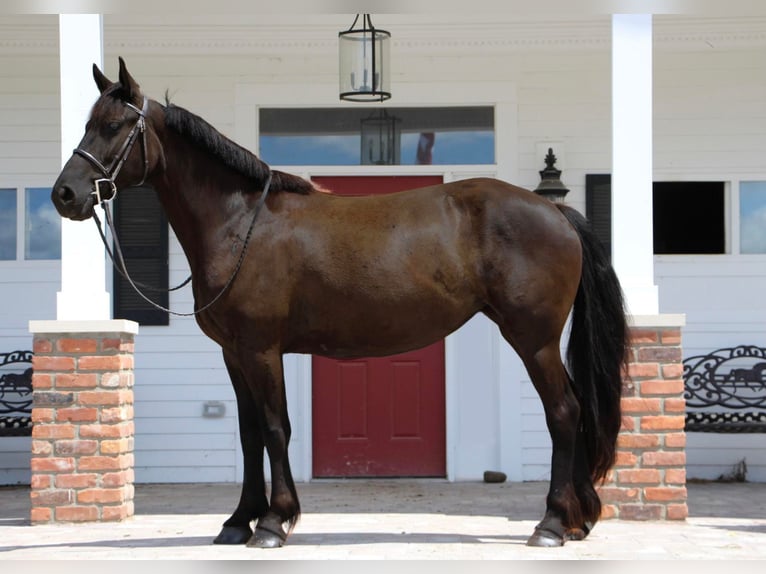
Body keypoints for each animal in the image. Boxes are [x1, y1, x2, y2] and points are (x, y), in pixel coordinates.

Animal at [49, 58, 632, 548]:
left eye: (114, 127)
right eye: (87, 123)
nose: (65, 195)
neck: (241, 224)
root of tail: (555, 212)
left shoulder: (261, 349)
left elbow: (275, 427)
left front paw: (273, 522)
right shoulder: (233, 353)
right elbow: (248, 434)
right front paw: (237, 521)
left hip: (533, 340)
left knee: (564, 411)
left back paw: (552, 523)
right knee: (575, 409)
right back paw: (577, 520)